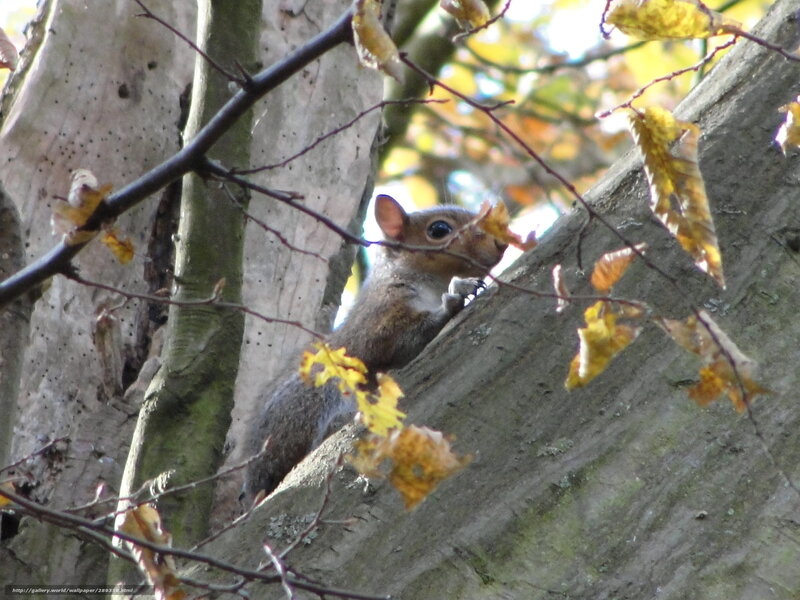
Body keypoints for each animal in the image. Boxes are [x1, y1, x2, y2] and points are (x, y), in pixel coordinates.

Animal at [242, 193, 508, 502]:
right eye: (439, 230)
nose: (501, 243)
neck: (428, 283)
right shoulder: (382, 319)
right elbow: (403, 341)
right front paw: (455, 296)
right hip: (313, 397)